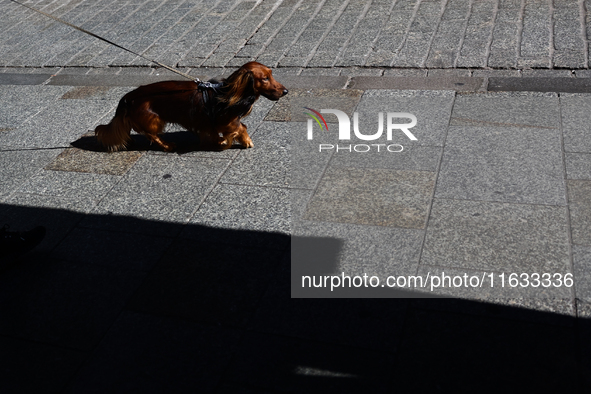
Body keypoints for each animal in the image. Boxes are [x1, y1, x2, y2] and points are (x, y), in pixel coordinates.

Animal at [95, 61, 290, 151]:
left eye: (271, 74)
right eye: (264, 79)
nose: (286, 91)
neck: (227, 94)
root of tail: (127, 98)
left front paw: (220, 141)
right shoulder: (226, 122)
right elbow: (241, 127)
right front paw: (244, 141)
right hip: (154, 119)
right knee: (151, 135)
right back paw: (167, 145)